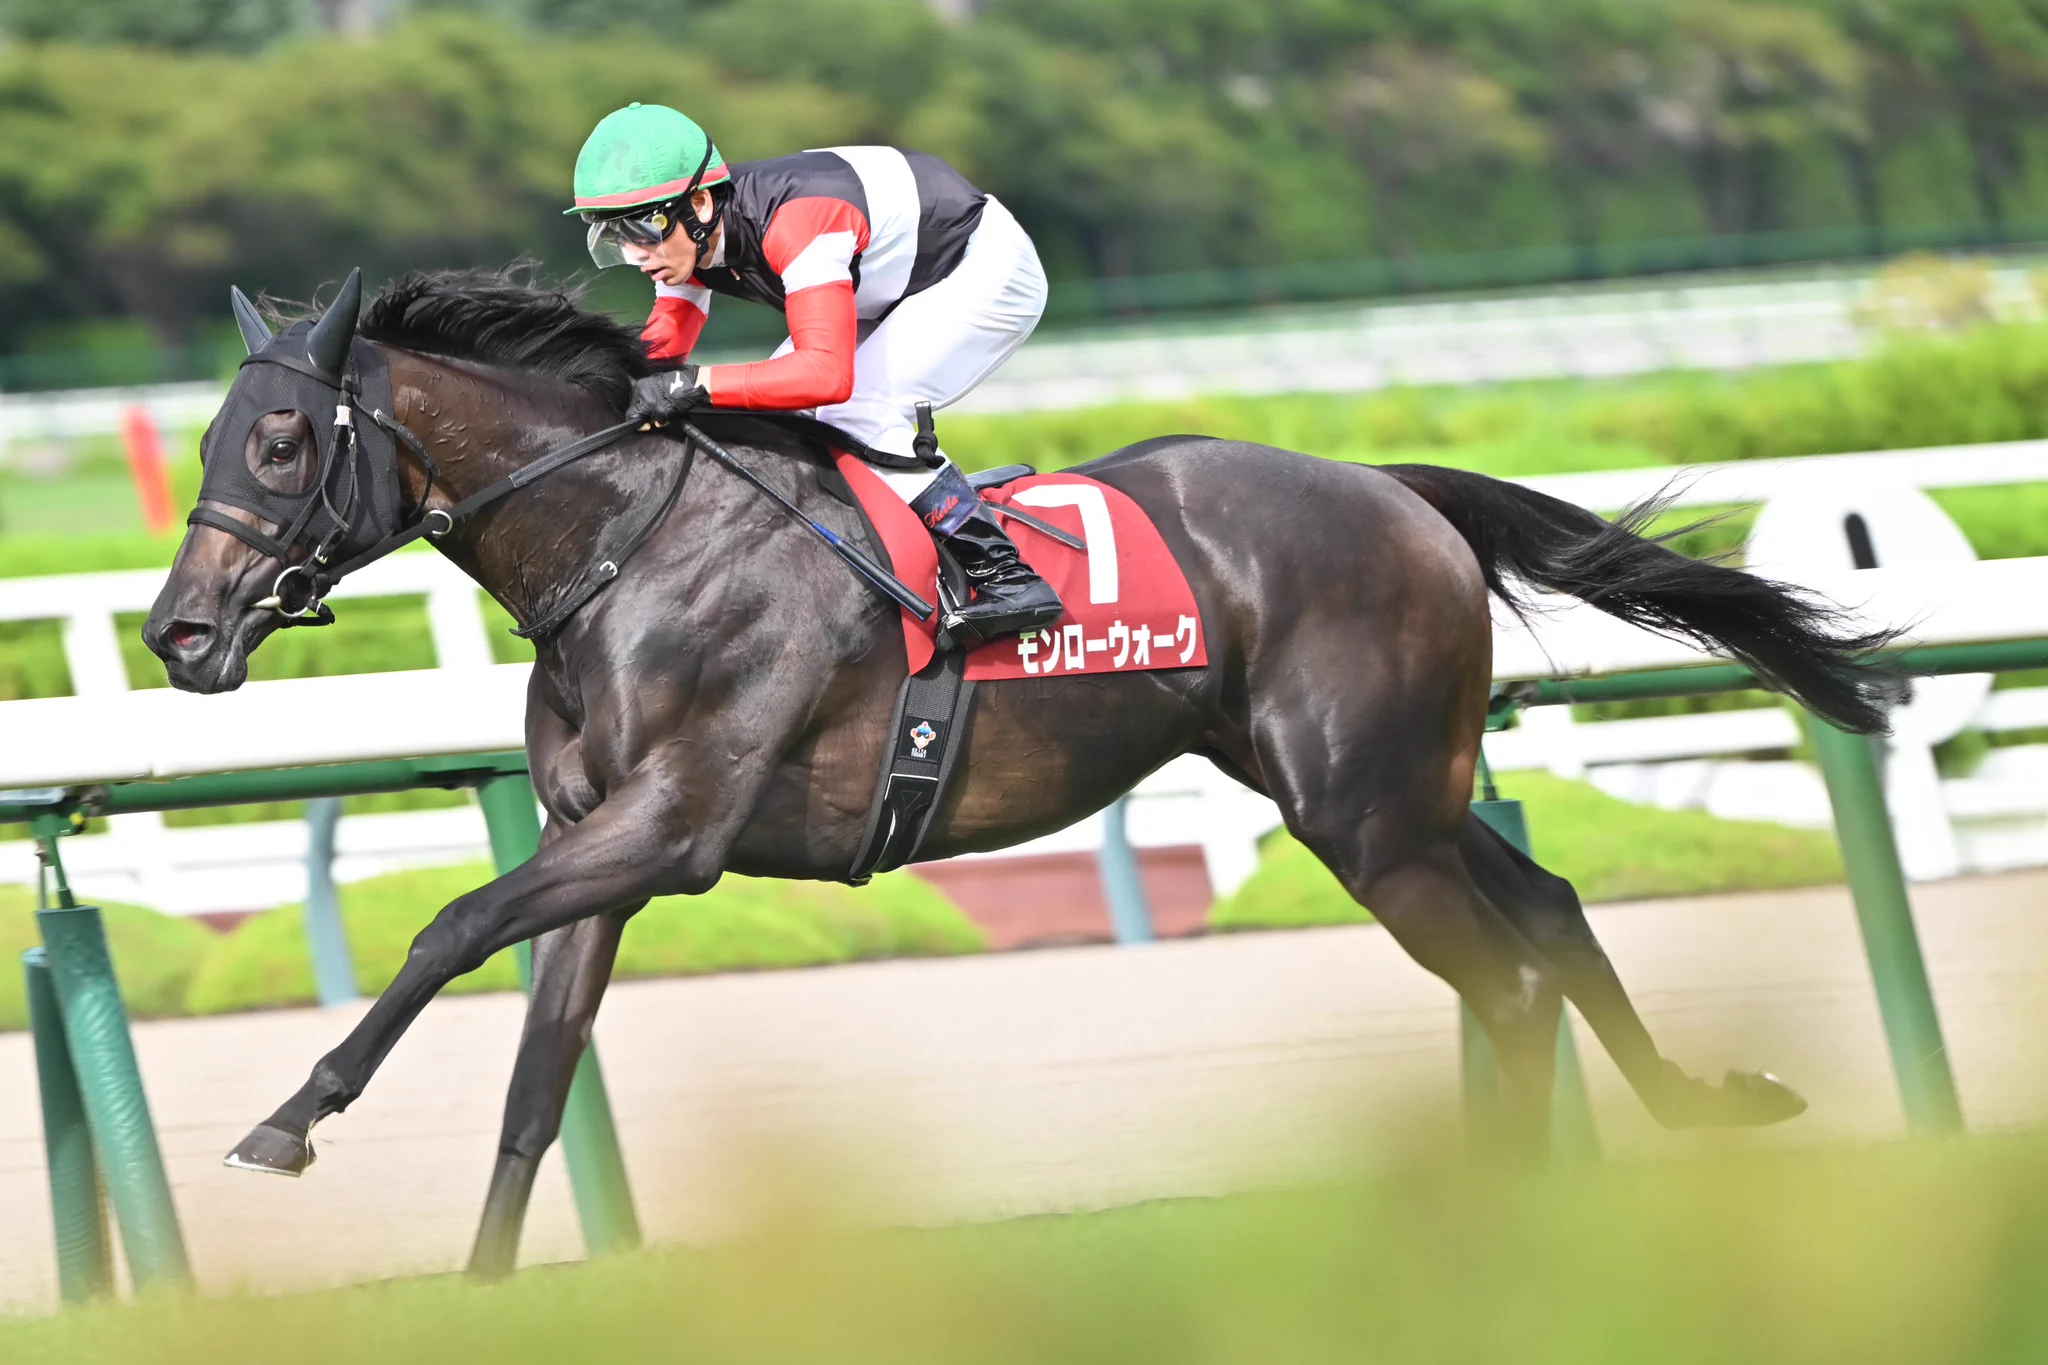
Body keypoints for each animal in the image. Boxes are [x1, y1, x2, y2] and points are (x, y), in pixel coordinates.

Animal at [143, 268, 1892, 1277]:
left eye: (282, 443)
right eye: (217, 439)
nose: (177, 633)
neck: (626, 544)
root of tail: (1394, 491)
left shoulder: (675, 828)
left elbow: (447, 927)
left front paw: (285, 1123)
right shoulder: (604, 846)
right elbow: (533, 1080)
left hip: (1365, 811)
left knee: (1511, 978)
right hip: (1395, 794)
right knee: (1554, 908)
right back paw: (1695, 1107)